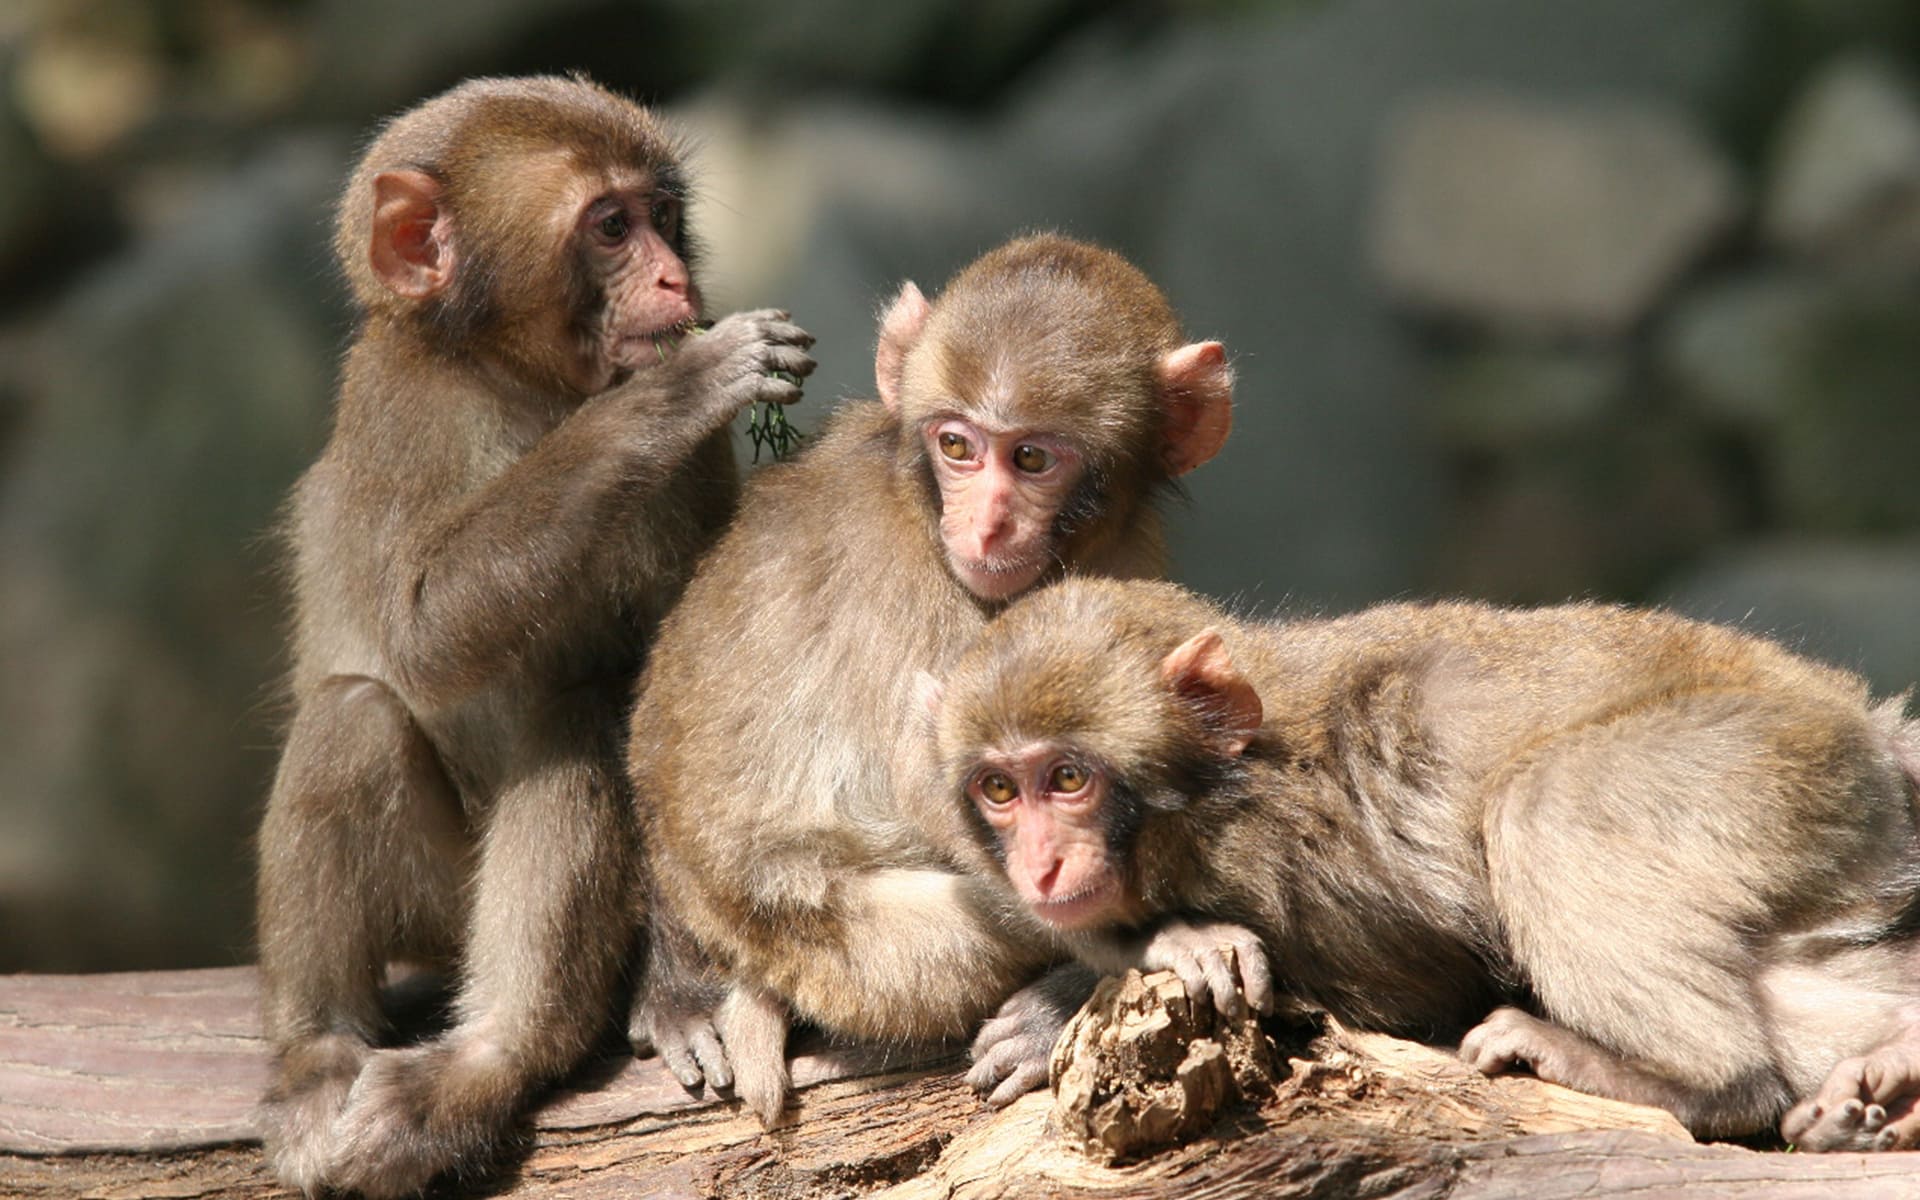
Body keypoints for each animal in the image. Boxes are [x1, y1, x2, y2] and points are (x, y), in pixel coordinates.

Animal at [251, 77, 814, 1198]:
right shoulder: (399, 411)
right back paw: (326, 1051)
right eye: (611, 229)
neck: (525, 383)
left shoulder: (697, 476)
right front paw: (673, 393)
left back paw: (492, 1056)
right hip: (436, 905)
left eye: (663, 214)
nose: (677, 276)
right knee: (355, 716)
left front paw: (683, 993)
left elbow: (680, 700)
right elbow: (421, 635)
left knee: (579, 712)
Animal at [622, 231, 1236, 1121]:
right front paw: (1152, 944)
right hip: (845, 956)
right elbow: (938, 783)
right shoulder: (927, 588)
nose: (984, 524)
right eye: (957, 447)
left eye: (1031, 457)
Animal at [925, 579, 1920, 1152]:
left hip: (1768, 760)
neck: (1223, 788)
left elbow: (1404, 997)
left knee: (1547, 805)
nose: (1040, 866)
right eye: (999, 790)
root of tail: (1868, 728)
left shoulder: (1298, 873)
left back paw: (1699, 1083)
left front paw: (1164, 951)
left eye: (1067, 779)